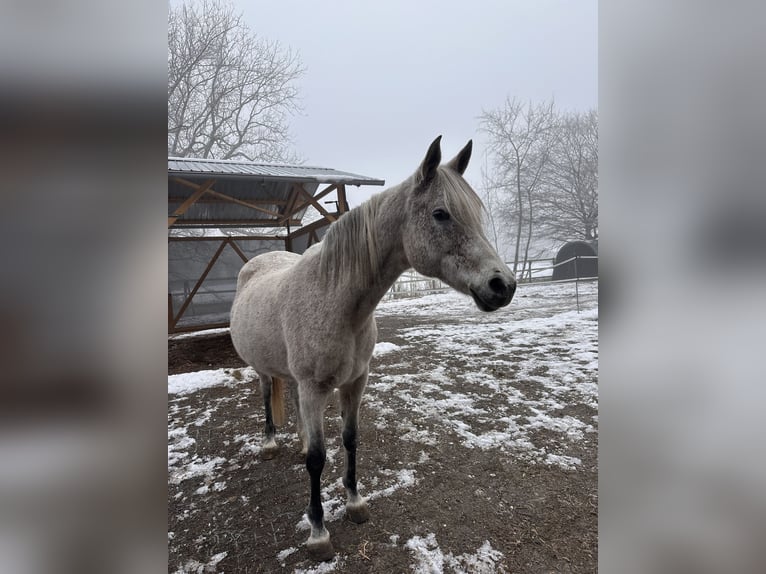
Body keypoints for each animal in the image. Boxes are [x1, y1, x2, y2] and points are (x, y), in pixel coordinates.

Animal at [228, 136, 516, 564]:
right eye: (441, 214)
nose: (503, 285)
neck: (336, 299)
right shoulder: (314, 387)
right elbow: (318, 459)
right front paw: (318, 533)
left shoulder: (355, 382)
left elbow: (350, 439)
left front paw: (355, 503)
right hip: (264, 370)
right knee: (267, 395)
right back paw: (270, 444)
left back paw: (298, 440)